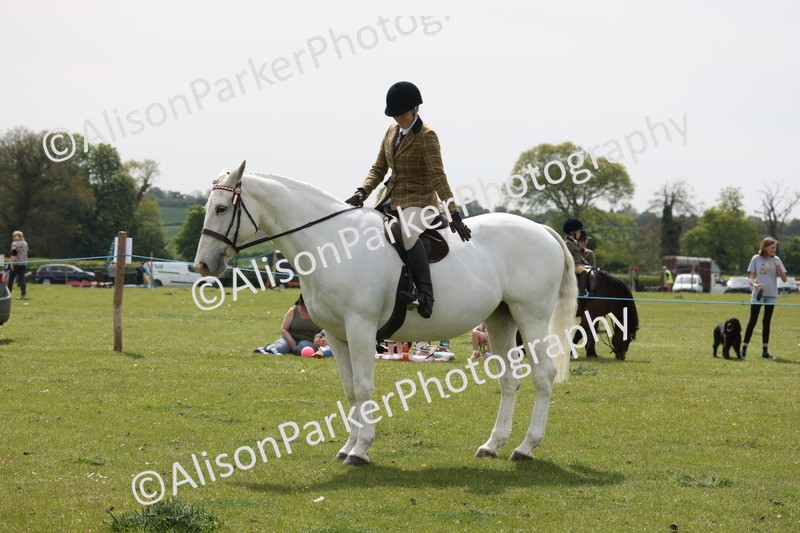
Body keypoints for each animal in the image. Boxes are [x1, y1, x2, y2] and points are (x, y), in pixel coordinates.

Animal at [194, 161, 578, 465]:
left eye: (222, 209)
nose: (203, 265)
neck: (330, 244)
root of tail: (541, 230)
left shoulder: (360, 328)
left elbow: (364, 388)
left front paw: (360, 450)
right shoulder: (337, 335)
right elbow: (350, 390)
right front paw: (347, 446)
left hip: (531, 318)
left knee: (543, 376)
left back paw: (526, 448)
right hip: (501, 320)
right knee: (508, 380)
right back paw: (493, 445)